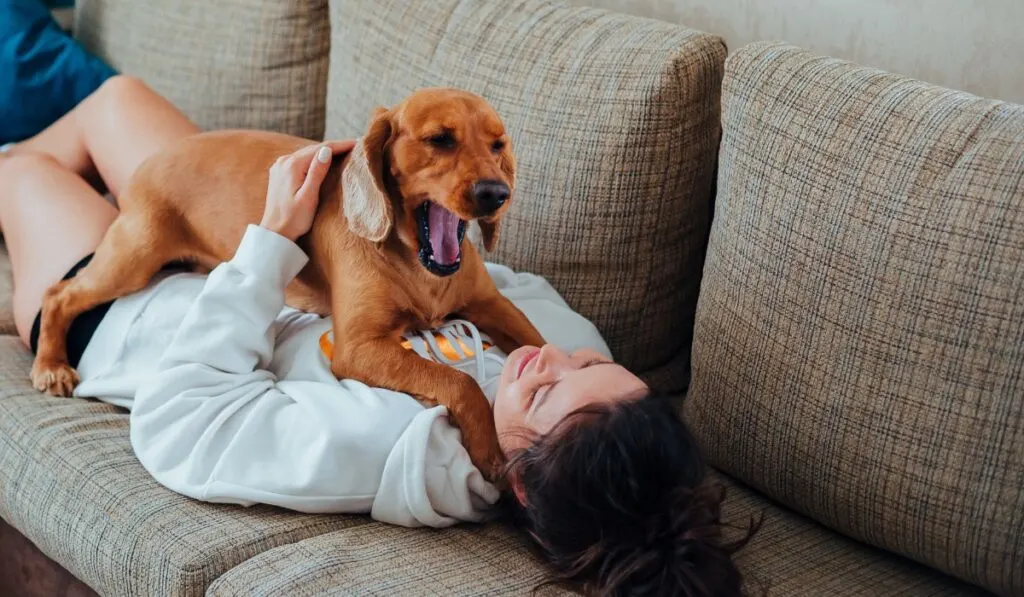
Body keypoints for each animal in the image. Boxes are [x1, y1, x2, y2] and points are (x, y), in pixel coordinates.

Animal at [29, 88, 544, 479]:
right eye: (439, 140)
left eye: (498, 145)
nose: (496, 193)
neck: (418, 264)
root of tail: (152, 160)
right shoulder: (359, 346)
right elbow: (458, 381)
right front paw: (490, 449)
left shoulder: (494, 305)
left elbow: (537, 343)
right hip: (132, 258)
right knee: (58, 294)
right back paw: (51, 364)